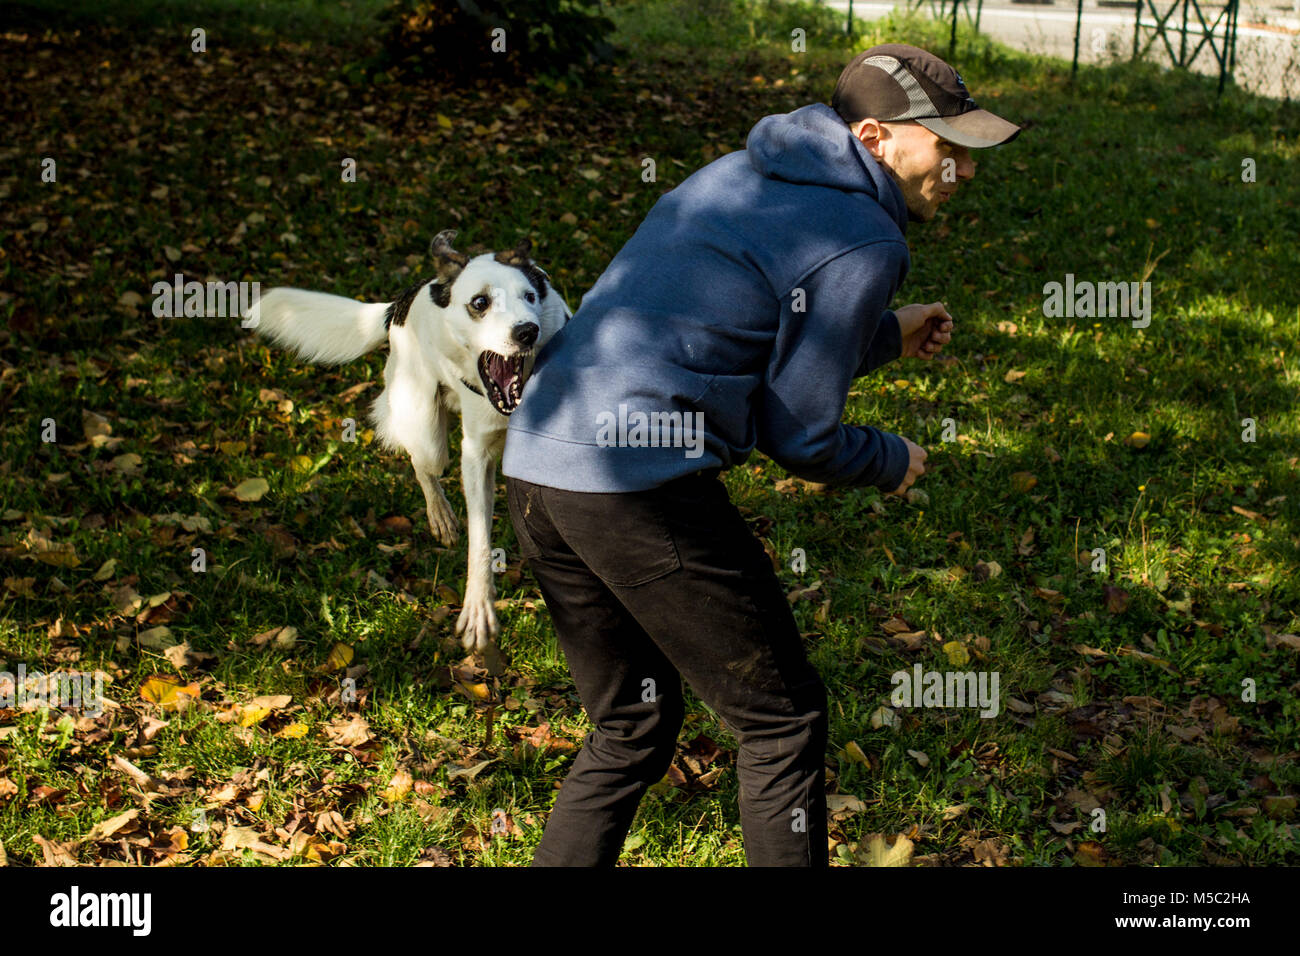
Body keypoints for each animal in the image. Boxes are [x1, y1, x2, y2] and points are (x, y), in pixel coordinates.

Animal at [244, 227, 569, 655]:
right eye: (480, 303)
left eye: (530, 297)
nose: (526, 331)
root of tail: (401, 302)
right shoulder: (475, 456)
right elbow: (479, 540)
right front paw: (478, 606)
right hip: (427, 430)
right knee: (422, 464)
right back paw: (440, 514)